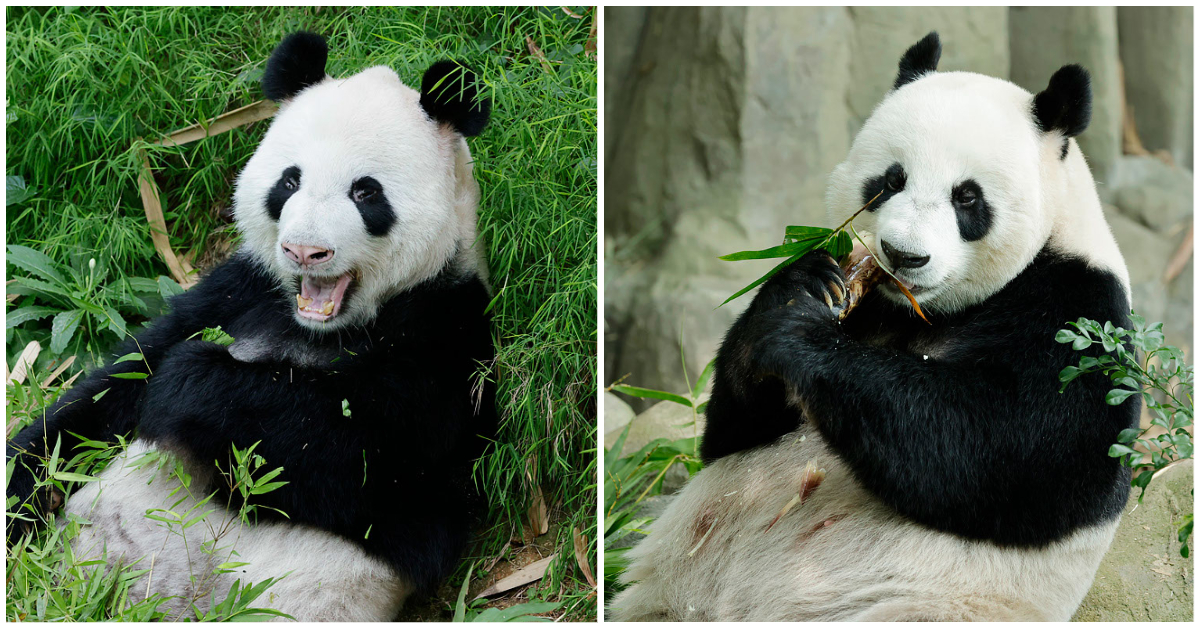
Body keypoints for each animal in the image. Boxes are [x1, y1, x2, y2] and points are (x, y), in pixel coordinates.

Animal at [4, 31, 496, 619]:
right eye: (290, 180)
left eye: (365, 192)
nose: (305, 251)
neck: (320, 327)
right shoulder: (239, 292)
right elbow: (110, 390)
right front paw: (22, 486)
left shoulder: (446, 336)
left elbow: (368, 463)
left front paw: (192, 380)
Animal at [614, 30, 1137, 624]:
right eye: (891, 180)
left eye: (967, 196)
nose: (903, 255)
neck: (928, 309)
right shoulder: (869, 303)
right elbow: (729, 434)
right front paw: (800, 288)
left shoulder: (1077, 312)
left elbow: (1002, 444)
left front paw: (801, 336)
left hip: (914, 604)